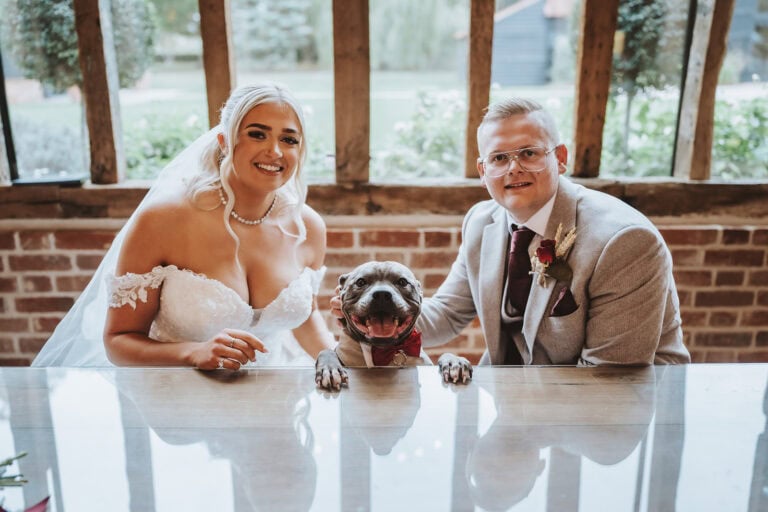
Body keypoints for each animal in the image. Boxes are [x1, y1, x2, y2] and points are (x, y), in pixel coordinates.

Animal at [315, 261, 473, 391]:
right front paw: (329, 368)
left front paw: (454, 362)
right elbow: (326, 351)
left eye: (402, 282)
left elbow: (445, 354)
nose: (381, 294)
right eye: (360, 282)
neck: (386, 351)